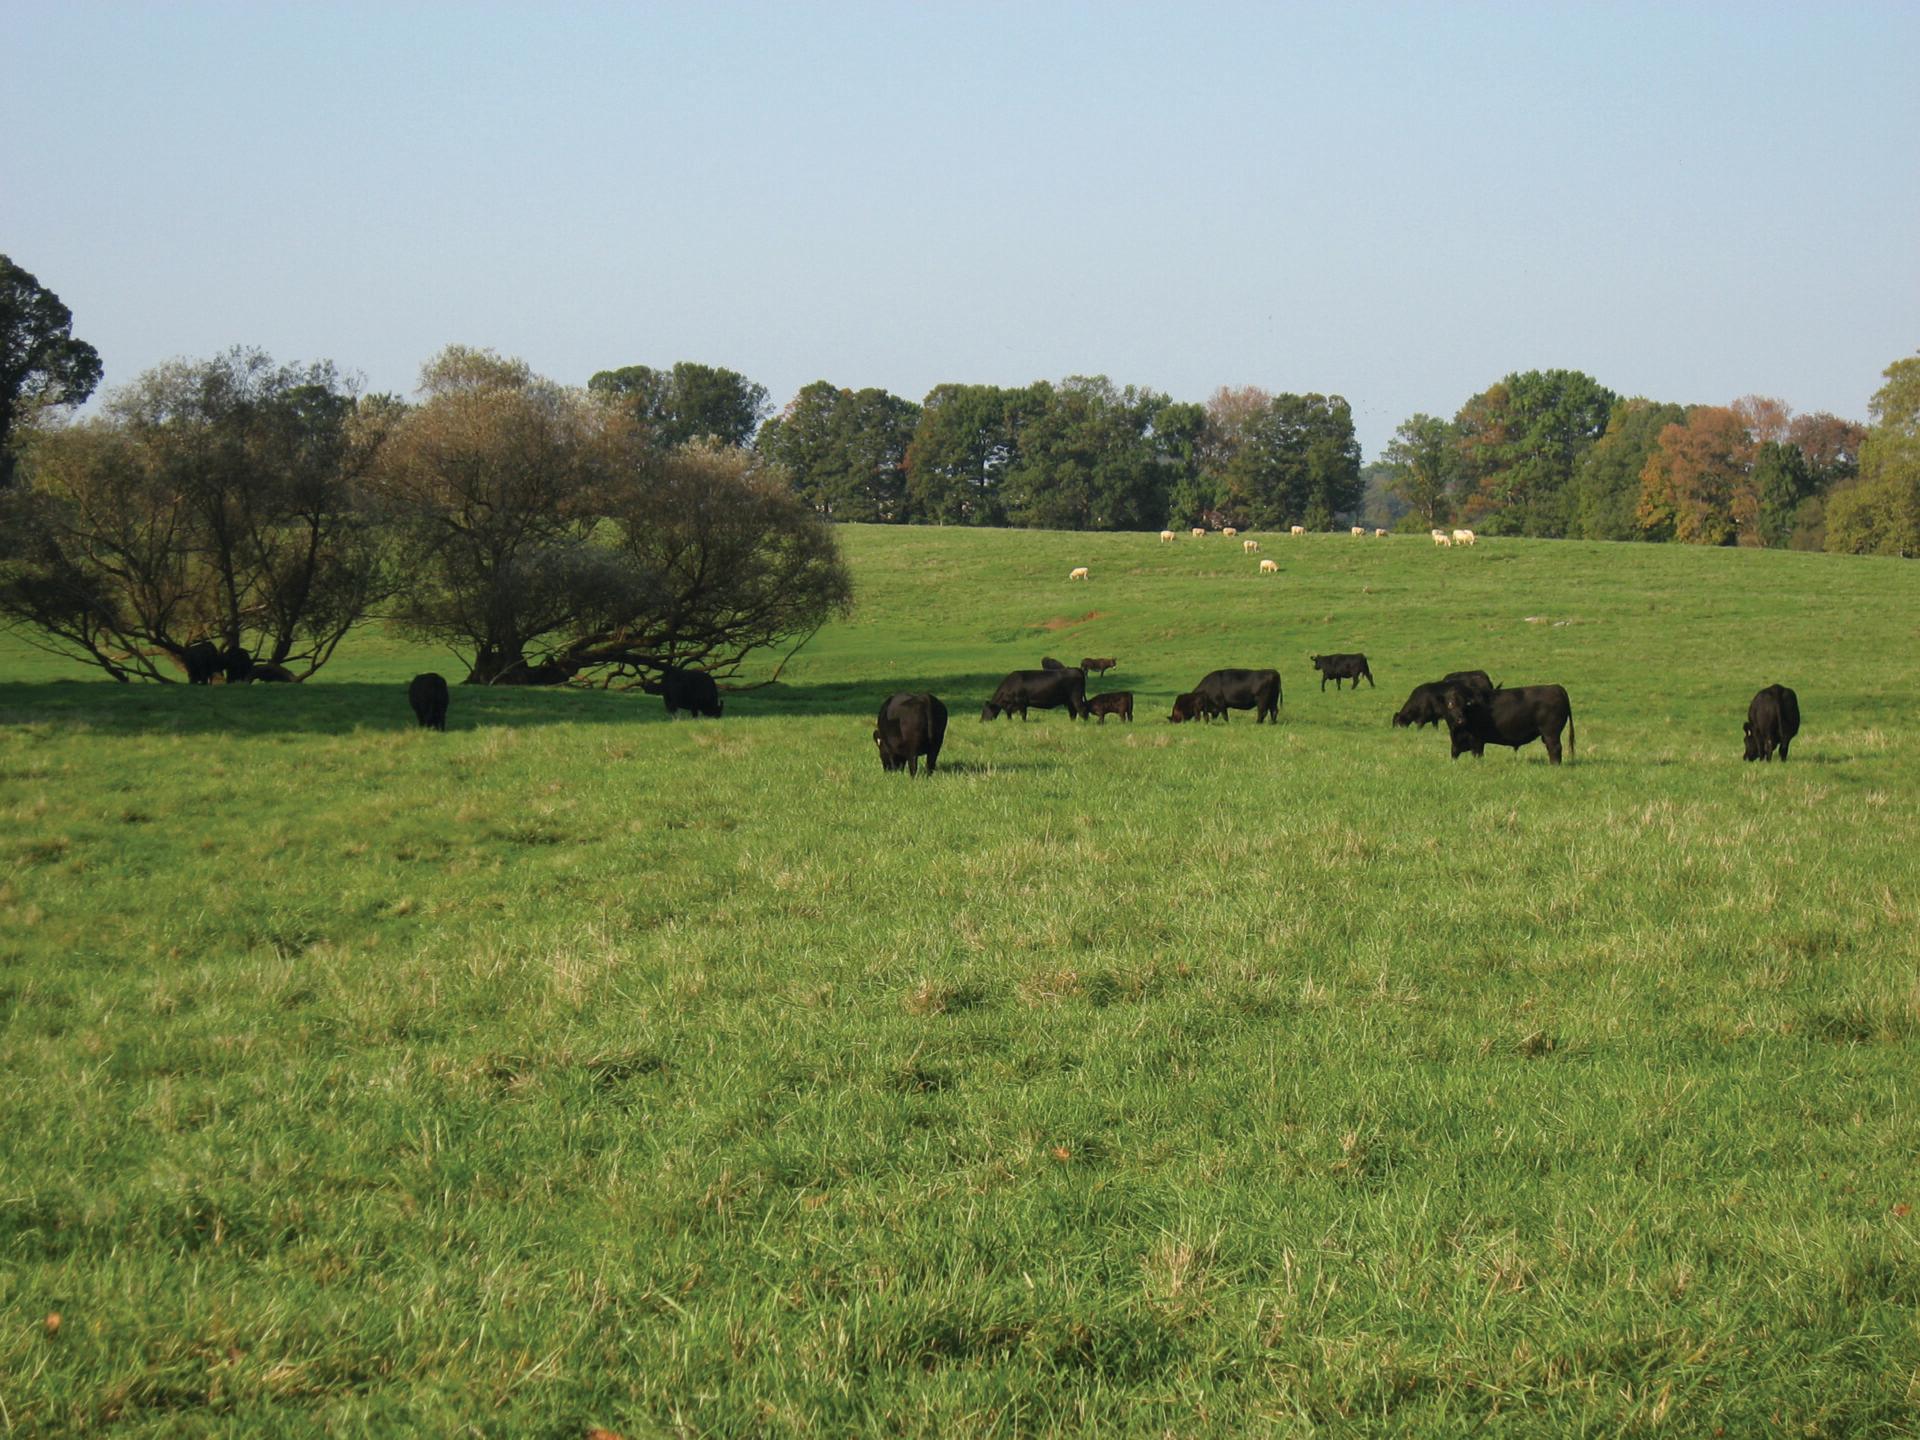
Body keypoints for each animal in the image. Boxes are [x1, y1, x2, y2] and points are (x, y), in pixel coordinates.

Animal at [1443, 683, 1574, 768]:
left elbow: (1478, 755)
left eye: (1465, 705)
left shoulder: (1477, 741)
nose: (1460, 720)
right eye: (1450, 704)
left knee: (1555, 748)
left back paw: (1554, 766)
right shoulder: (1457, 745)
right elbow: (1454, 754)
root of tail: (1556, 687)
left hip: (1551, 732)